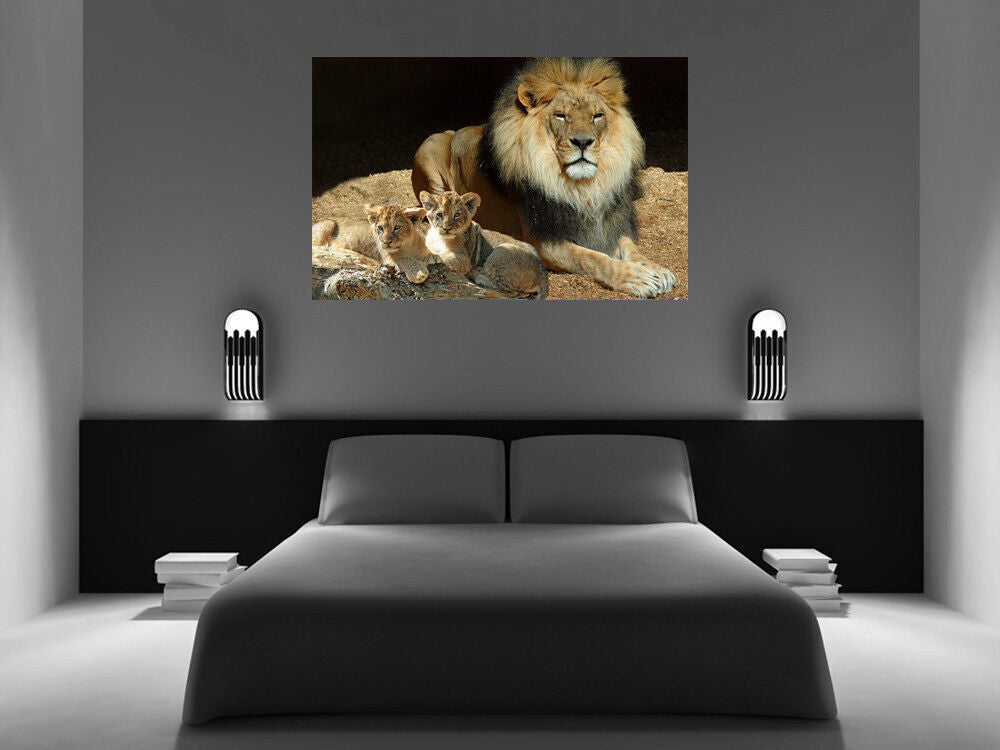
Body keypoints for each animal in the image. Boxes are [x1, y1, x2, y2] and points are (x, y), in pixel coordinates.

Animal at [411, 57, 676, 299]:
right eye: (561, 116)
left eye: (597, 116)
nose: (583, 142)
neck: (583, 188)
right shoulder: (544, 241)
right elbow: (591, 258)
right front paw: (638, 278)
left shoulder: (607, 223)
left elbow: (630, 247)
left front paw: (656, 270)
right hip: (430, 144)